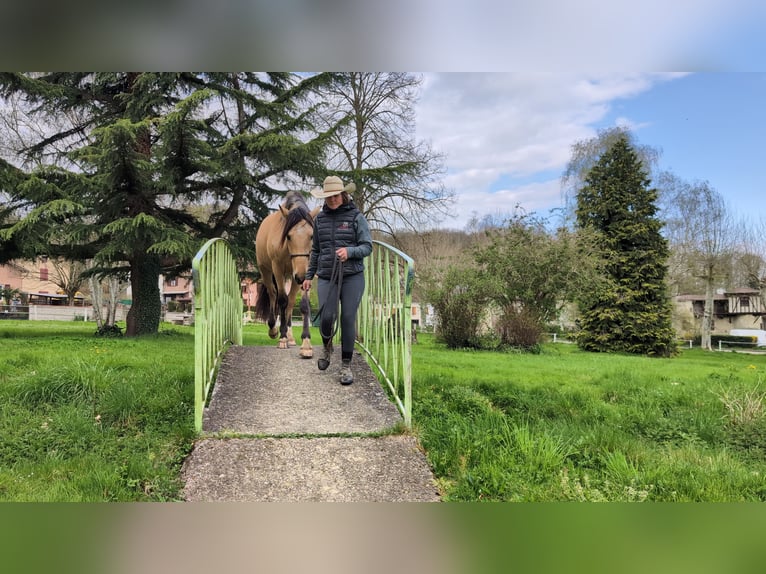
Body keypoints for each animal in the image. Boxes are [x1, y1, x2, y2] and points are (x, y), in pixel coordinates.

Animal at [254, 191, 320, 358]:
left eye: (312, 236)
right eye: (288, 236)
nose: (301, 276)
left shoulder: (303, 274)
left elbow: (302, 305)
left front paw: (306, 343)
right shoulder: (278, 269)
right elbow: (282, 300)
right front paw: (282, 338)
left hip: (292, 277)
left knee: (290, 302)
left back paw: (290, 336)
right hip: (267, 271)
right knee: (273, 294)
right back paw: (274, 329)